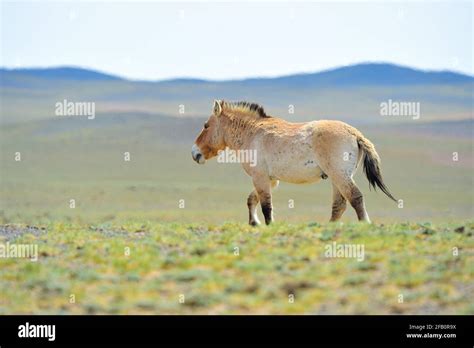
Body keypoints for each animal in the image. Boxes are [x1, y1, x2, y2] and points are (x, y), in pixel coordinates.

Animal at [191, 100, 394, 226]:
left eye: (206, 125)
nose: (195, 153)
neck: (252, 133)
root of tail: (355, 134)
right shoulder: (270, 180)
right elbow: (252, 199)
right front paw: (254, 223)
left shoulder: (260, 178)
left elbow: (266, 206)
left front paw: (267, 225)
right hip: (337, 178)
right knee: (340, 205)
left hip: (339, 176)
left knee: (355, 197)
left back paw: (364, 224)